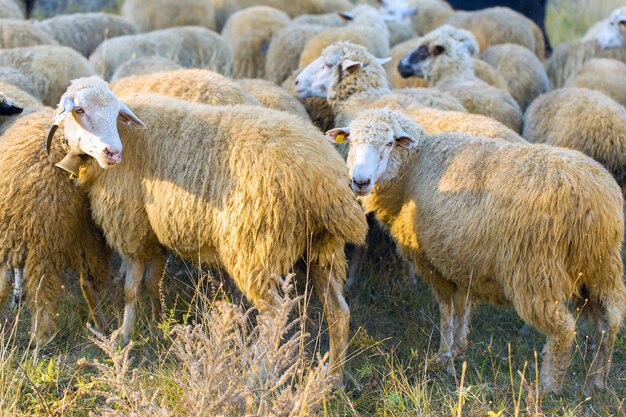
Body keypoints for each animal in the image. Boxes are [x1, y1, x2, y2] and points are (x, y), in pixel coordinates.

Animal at [46, 76, 368, 386]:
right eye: (80, 110)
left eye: (115, 114)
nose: (113, 153)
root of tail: (325, 181)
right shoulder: (152, 228)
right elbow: (153, 281)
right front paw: (160, 323)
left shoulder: (131, 226)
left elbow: (131, 290)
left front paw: (124, 338)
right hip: (321, 250)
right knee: (339, 311)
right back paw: (333, 378)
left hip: (256, 247)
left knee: (275, 315)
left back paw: (255, 378)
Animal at [330, 107, 620, 394]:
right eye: (352, 142)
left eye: (389, 143)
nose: (360, 181)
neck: (415, 167)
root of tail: (594, 201)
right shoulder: (462, 261)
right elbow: (462, 309)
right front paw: (457, 350)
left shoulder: (434, 262)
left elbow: (446, 311)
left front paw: (443, 354)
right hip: (601, 270)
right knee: (608, 323)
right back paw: (596, 382)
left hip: (537, 271)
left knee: (564, 328)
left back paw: (550, 387)